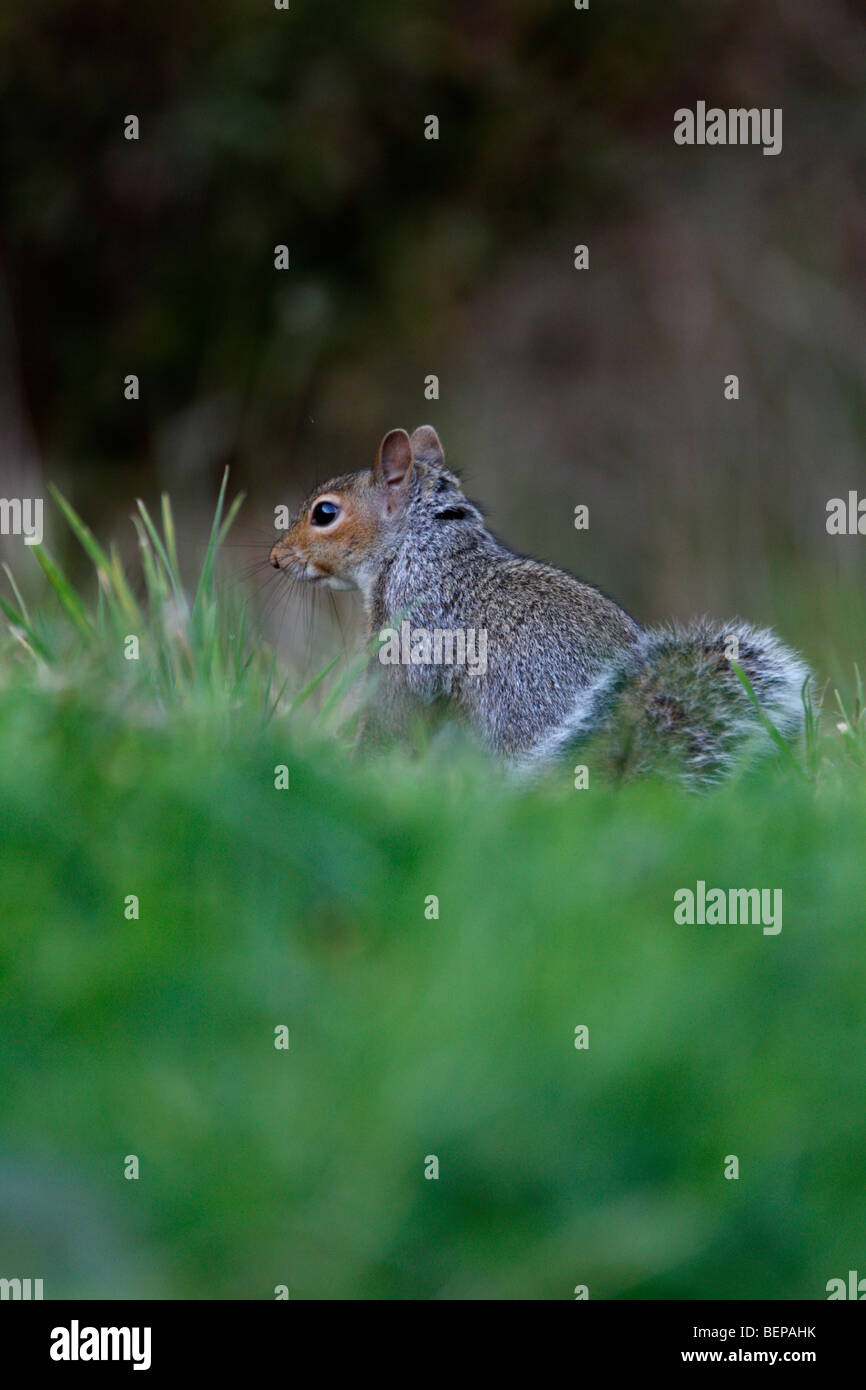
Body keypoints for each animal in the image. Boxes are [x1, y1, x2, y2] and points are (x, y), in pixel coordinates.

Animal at [269, 425, 810, 784]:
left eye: (325, 513)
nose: (275, 558)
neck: (419, 549)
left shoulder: (414, 638)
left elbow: (393, 714)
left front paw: (358, 767)